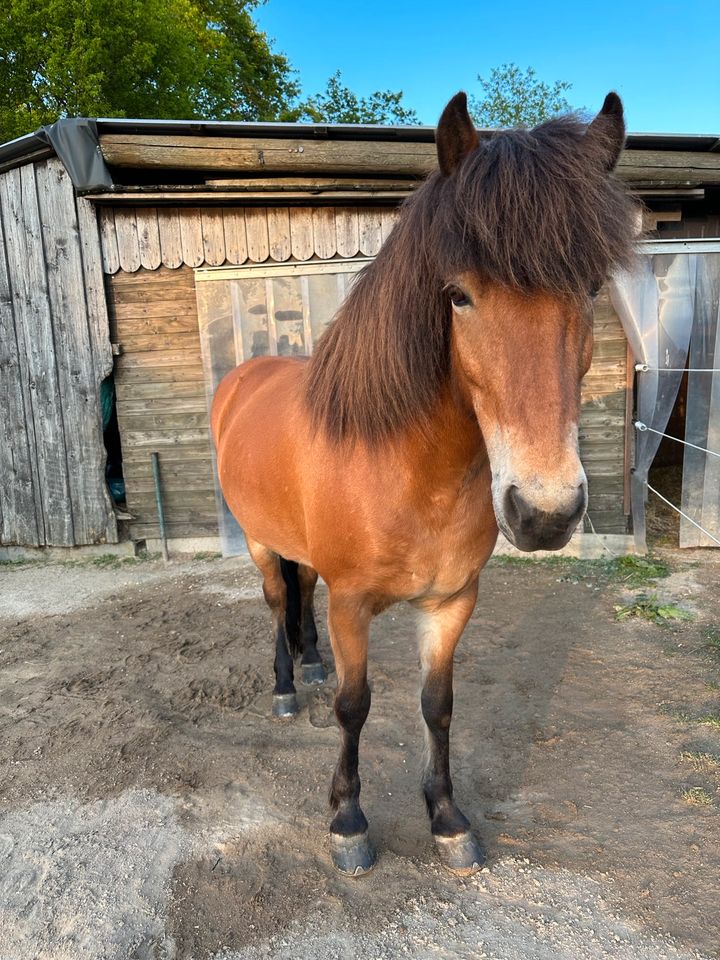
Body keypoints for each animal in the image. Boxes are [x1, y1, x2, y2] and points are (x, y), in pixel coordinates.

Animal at [212, 92, 636, 876]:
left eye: (591, 288)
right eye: (459, 295)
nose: (544, 511)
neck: (410, 474)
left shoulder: (450, 601)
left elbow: (437, 705)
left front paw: (445, 816)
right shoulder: (353, 605)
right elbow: (355, 706)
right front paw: (348, 820)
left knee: (299, 591)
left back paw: (309, 664)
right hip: (257, 541)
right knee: (277, 600)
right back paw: (287, 687)